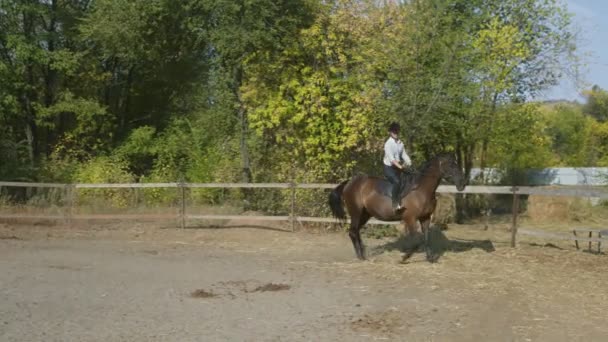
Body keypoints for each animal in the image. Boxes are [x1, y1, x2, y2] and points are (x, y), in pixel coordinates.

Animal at [328, 152, 466, 262]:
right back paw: (360, 256)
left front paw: (430, 258)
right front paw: (404, 258)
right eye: (451, 165)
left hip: (365, 214)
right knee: (352, 232)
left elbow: (426, 238)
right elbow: (416, 241)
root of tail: (349, 183)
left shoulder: (425, 218)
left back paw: (363, 253)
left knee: (356, 231)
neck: (421, 190)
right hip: (356, 213)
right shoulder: (410, 219)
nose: (462, 184)